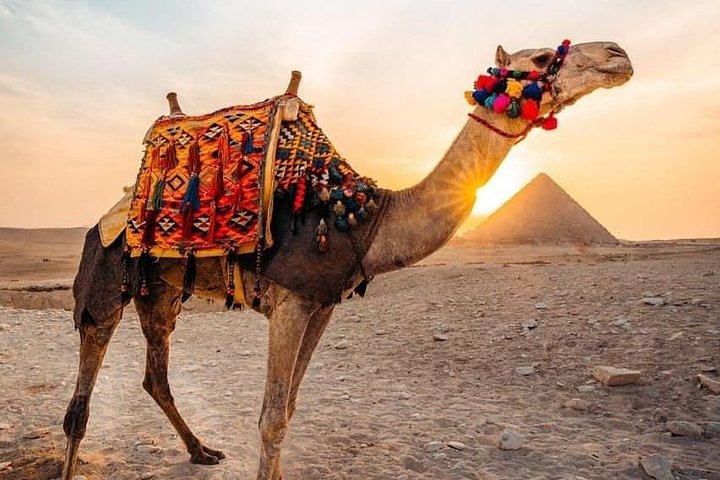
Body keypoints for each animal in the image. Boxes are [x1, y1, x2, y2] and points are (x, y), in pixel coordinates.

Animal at [61, 40, 633, 480]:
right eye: (541, 58)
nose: (617, 54)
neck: (365, 217)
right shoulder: (290, 301)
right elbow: (271, 417)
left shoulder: (321, 304)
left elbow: (289, 408)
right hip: (105, 274)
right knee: (82, 397)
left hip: (159, 292)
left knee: (155, 375)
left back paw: (202, 451)